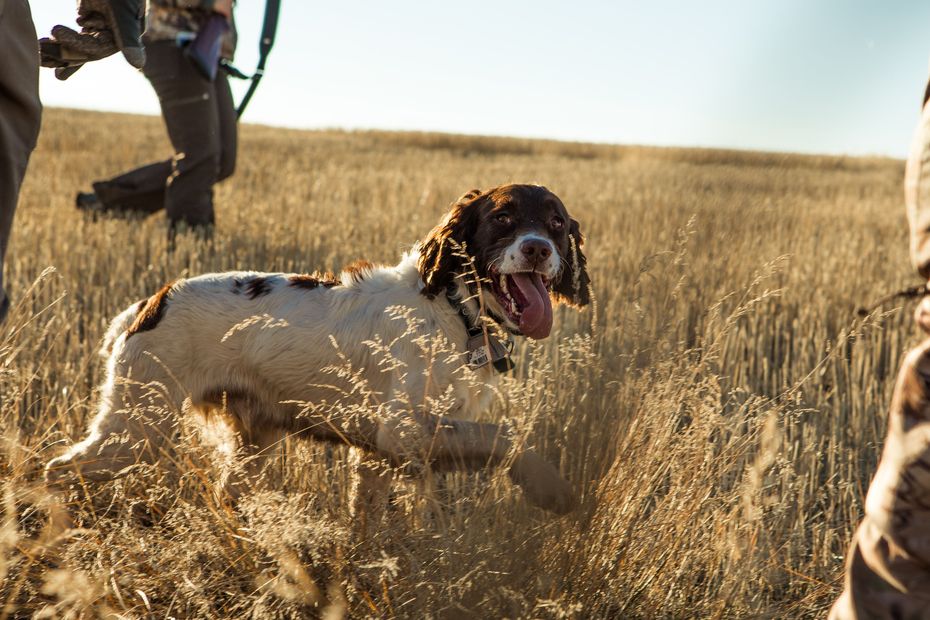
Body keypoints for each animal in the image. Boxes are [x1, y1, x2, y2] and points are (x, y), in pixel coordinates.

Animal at [45, 184, 588, 520]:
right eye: (503, 217)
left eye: (556, 222)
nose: (538, 248)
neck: (455, 311)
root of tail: (150, 303)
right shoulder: (401, 430)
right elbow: (504, 436)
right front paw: (551, 488)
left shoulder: (380, 453)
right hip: (135, 428)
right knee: (57, 469)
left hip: (248, 439)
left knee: (226, 493)